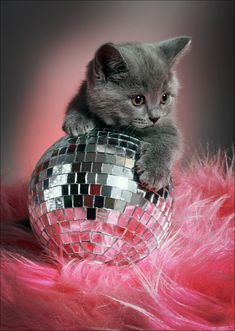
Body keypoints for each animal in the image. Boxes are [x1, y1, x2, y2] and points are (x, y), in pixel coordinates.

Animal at [62, 37, 191, 191]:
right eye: (138, 99)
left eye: (164, 98)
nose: (155, 117)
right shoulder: (83, 92)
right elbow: (77, 103)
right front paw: (78, 120)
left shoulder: (166, 123)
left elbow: (168, 140)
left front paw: (155, 171)